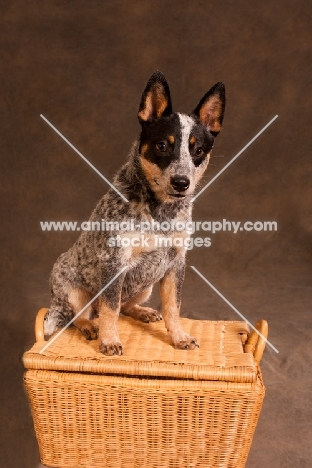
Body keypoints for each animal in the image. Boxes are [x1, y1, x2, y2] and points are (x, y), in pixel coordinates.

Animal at [44, 70, 224, 354]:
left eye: (198, 150)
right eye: (162, 145)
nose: (181, 182)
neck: (162, 213)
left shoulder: (176, 263)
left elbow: (173, 306)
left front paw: (179, 336)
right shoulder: (114, 262)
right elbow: (109, 308)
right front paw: (109, 340)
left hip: (145, 287)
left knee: (126, 306)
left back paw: (142, 312)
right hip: (71, 290)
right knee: (82, 314)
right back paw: (90, 326)